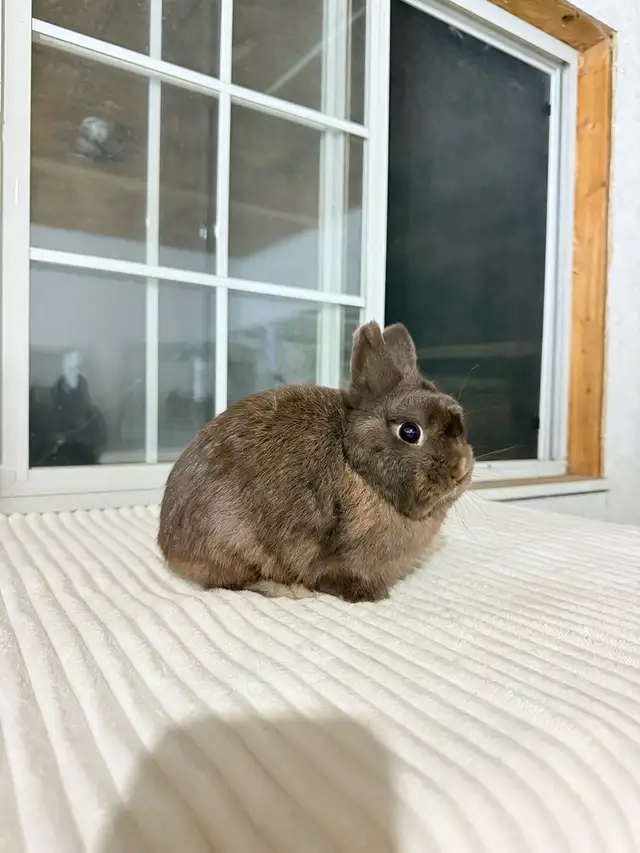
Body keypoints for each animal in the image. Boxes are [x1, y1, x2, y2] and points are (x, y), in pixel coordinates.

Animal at [157, 321, 474, 603]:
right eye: (410, 432)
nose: (460, 471)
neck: (355, 466)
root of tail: (169, 546)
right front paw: (370, 595)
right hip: (234, 541)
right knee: (234, 582)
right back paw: (287, 590)